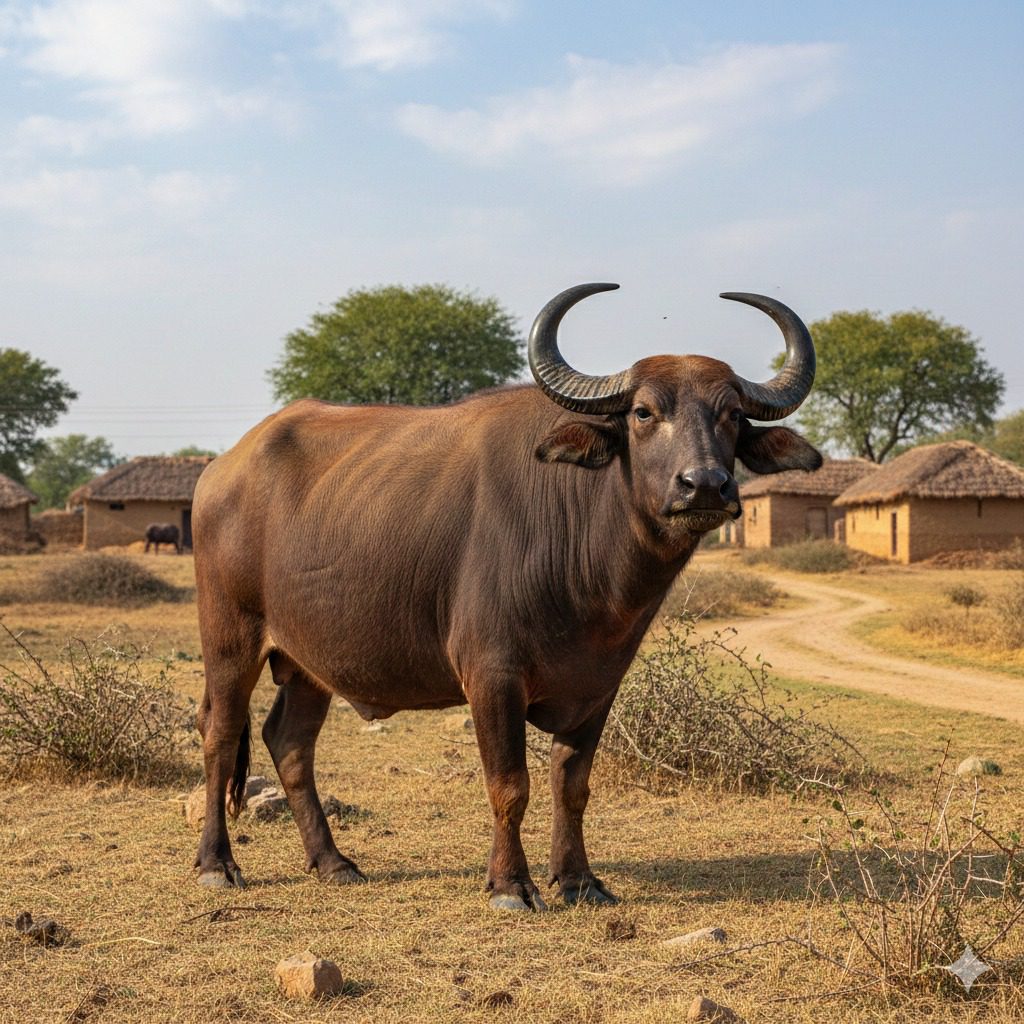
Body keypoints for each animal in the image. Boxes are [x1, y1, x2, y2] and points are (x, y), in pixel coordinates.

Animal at [192, 283, 822, 908]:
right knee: (219, 734)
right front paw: (510, 884)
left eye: (733, 414)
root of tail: (221, 470)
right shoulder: (491, 677)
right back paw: (217, 863)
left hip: (308, 661)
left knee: (290, 743)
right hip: (230, 639)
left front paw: (579, 880)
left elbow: (572, 785)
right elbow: (510, 785)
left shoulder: (598, 686)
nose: (705, 485)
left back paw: (332, 862)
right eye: (644, 412)